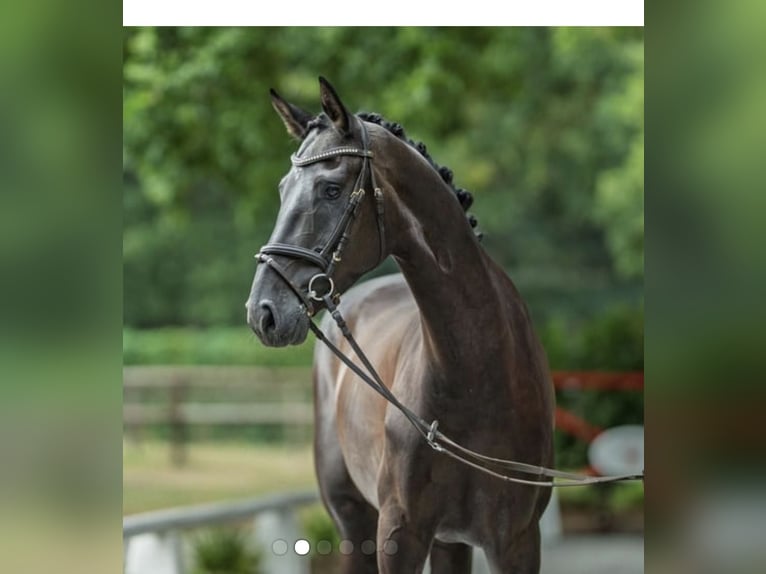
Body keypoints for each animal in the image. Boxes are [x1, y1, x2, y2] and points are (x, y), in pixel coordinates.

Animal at [246, 77, 555, 574]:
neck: (476, 374)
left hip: (450, 541)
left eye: (331, 189)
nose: (264, 313)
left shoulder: (517, 543)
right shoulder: (399, 533)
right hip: (354, 522)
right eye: (282, 188)